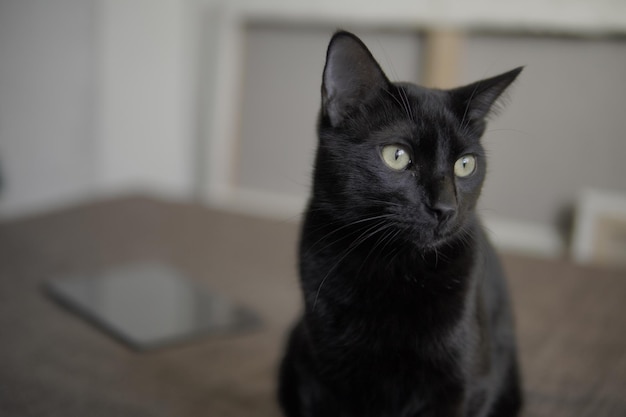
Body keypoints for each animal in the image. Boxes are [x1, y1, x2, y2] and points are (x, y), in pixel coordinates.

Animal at [278, 31, 520, 416]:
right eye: (396, 156)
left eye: (465, 164)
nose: (445, 207)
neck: (394, 267)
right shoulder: (322, 380)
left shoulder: (463, 385)